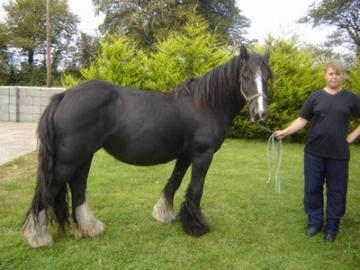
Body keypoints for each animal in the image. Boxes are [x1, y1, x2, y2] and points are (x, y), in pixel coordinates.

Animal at [22, 46, 272, 247]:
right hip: (69, 160)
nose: (260, 113)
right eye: (246, 75)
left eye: (268, 77)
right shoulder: (203, 155)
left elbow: (174, 182)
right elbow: (195, 189)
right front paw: (197, 226)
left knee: (78, 186)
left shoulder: (185, 155)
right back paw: (38, 237)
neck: (206, 104)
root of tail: (64, 96)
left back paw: (90, 227)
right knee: (48, 190)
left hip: (83, 156)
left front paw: (164, 214)